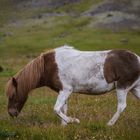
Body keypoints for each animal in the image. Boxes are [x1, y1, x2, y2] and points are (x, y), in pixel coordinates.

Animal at [6, 45, 140, 126]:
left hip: (122, 87)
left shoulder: (66, 90)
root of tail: (137, 59)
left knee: (121, 106)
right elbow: (62, 109)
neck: (48, 66)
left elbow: (56, 109)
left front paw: (73, 121)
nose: (11, 114)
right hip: (134, 88)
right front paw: (64, 125)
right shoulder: (63, 91)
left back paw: (109, 124)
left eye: (12, 96)